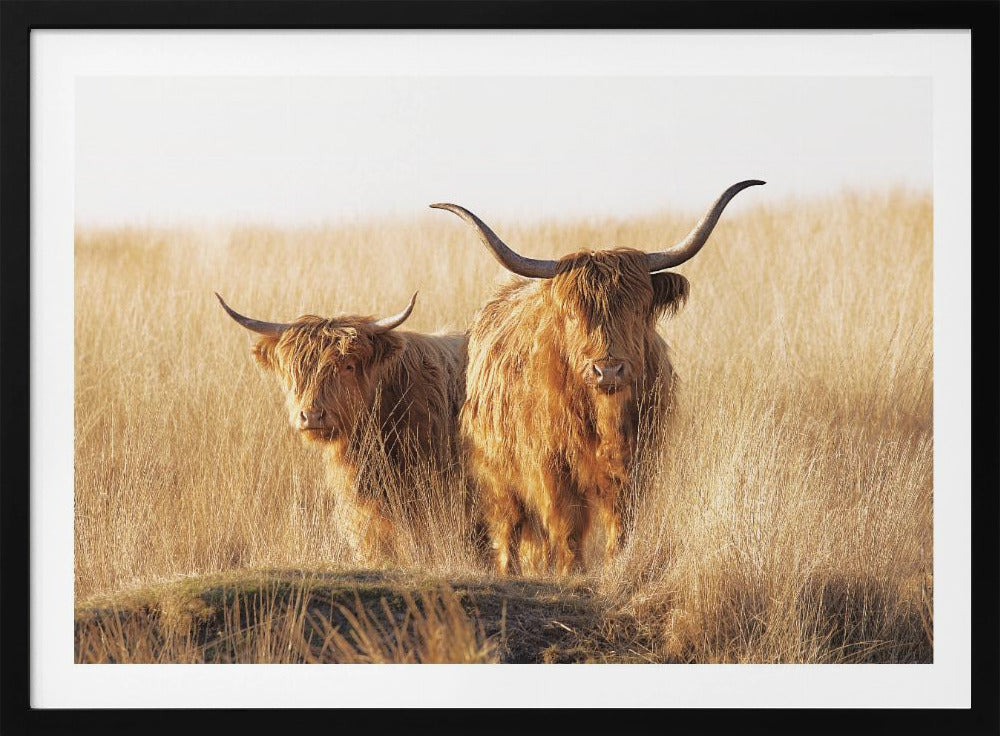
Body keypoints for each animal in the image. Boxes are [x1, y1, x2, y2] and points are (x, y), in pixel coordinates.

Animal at [432, 180, 764, 575]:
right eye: (574, 314)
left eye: (637, 309)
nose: (608, 369)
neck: (605, 418)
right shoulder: (550, 466)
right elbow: (566, 522)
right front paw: (571, 570)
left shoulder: (637, 463)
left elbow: (620, 519)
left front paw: (614, 564)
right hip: (497, 473)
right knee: (508, 525)